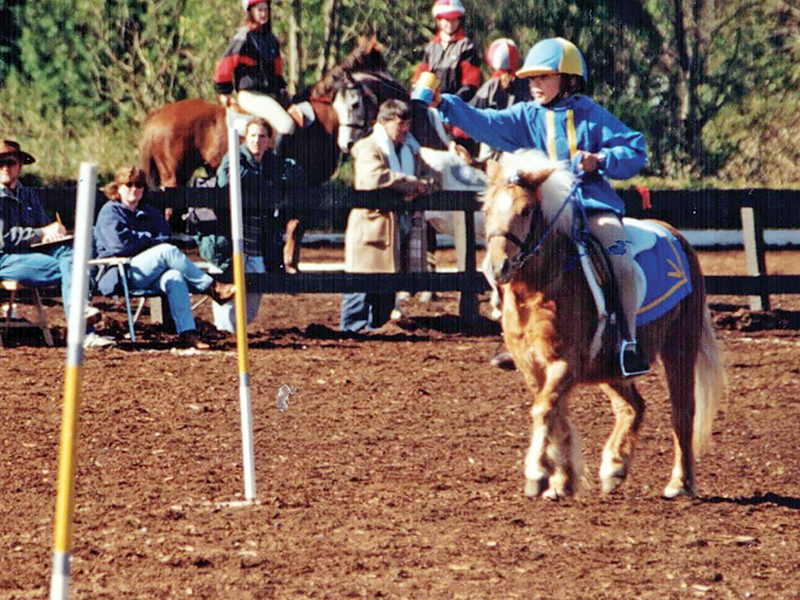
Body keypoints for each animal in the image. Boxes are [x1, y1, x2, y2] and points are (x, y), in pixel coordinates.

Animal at [481, 150, 726, 500]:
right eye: (487, 210)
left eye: (526, 210)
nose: (499, 266)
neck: (541, 286)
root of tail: (673, 233)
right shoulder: (533, 367)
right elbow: (556, 414)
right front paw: (562, 481)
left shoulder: (564, 363)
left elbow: (545, 410)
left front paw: (537, 474)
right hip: (610, 367)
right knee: (633, 406)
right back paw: (615, 467)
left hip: (679, 349)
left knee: (682, 411)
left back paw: (680, 483)